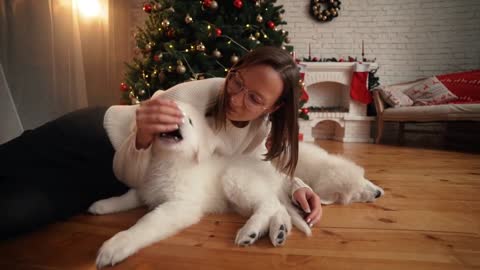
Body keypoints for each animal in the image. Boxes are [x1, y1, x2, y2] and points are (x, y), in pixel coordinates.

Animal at [89, 102, 312, 268]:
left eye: (189, 120)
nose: (176, 117)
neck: (169, 160)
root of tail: (273, 172)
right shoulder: (146, 188)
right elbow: (128, 196)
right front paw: (102, 205)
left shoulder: (181, 205)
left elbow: (148, 222)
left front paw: (116, 245)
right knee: (279, 208)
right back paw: (279, 230)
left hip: (236, 178)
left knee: (269, 205)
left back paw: (250, 231)